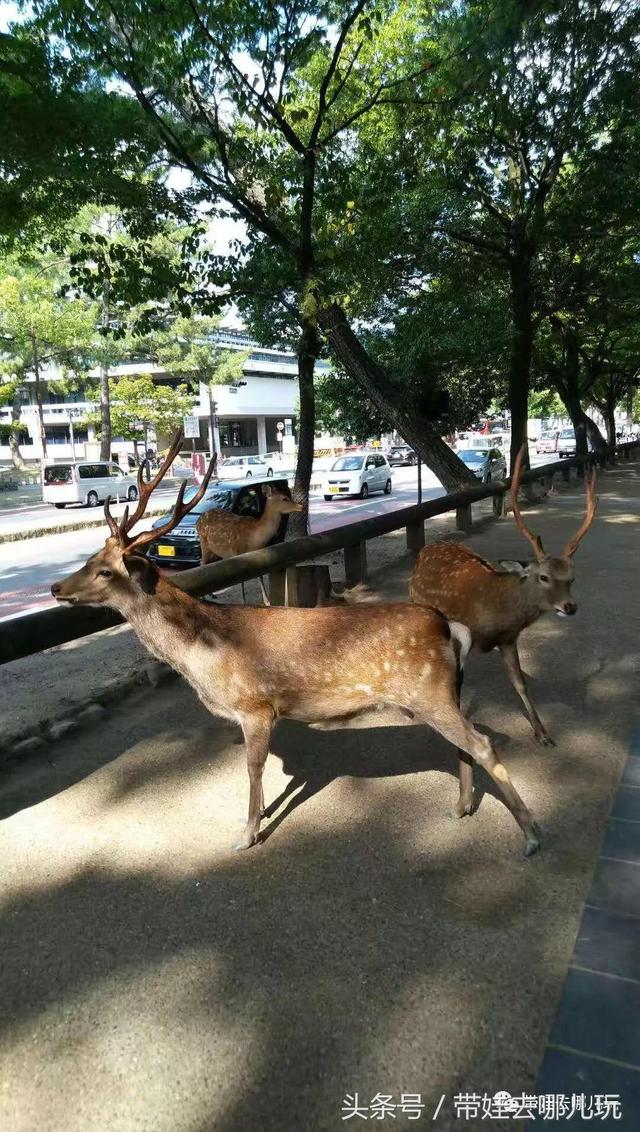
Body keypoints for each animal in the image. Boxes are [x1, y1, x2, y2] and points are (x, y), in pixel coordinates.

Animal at [51, 427, 539, 851]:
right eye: (89, 557)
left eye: (105, 571)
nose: (57, 587)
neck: (203, 657)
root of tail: (448, 627)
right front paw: (261, 815)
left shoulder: (255, 706)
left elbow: (252, 770)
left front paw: (247, 833)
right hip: (439, 693)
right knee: (464, 744)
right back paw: (461, 807)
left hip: (428, 690)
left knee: (481, 742)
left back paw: (530, 833)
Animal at [407, 441, 598, 815]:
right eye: (544, 577)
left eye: (572, 578)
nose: (570, 607)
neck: (497, 612)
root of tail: (430, 545)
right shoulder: (464, 643)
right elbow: (458, 706)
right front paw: (464, 799)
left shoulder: (509, 640)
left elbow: (520, 683)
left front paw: (543, 733)